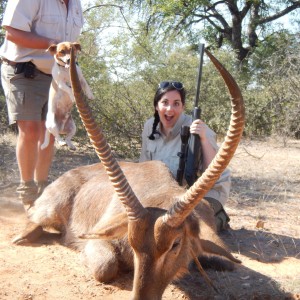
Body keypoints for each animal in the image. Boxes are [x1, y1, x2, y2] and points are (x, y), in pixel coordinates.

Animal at [12, 47, 245, 300]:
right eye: (133, 243)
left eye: (175, 244)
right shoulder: (98, 240)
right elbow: (105, 266)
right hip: (51, 206)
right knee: (34, 216)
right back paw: (23, 236)